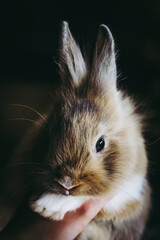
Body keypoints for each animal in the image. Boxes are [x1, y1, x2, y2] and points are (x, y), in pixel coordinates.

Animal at [0, 21, 150, 239]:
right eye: (50, 134)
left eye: (100, 143)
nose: (67, 182)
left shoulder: (125, 193)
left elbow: (88, 197)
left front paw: (47, 206)